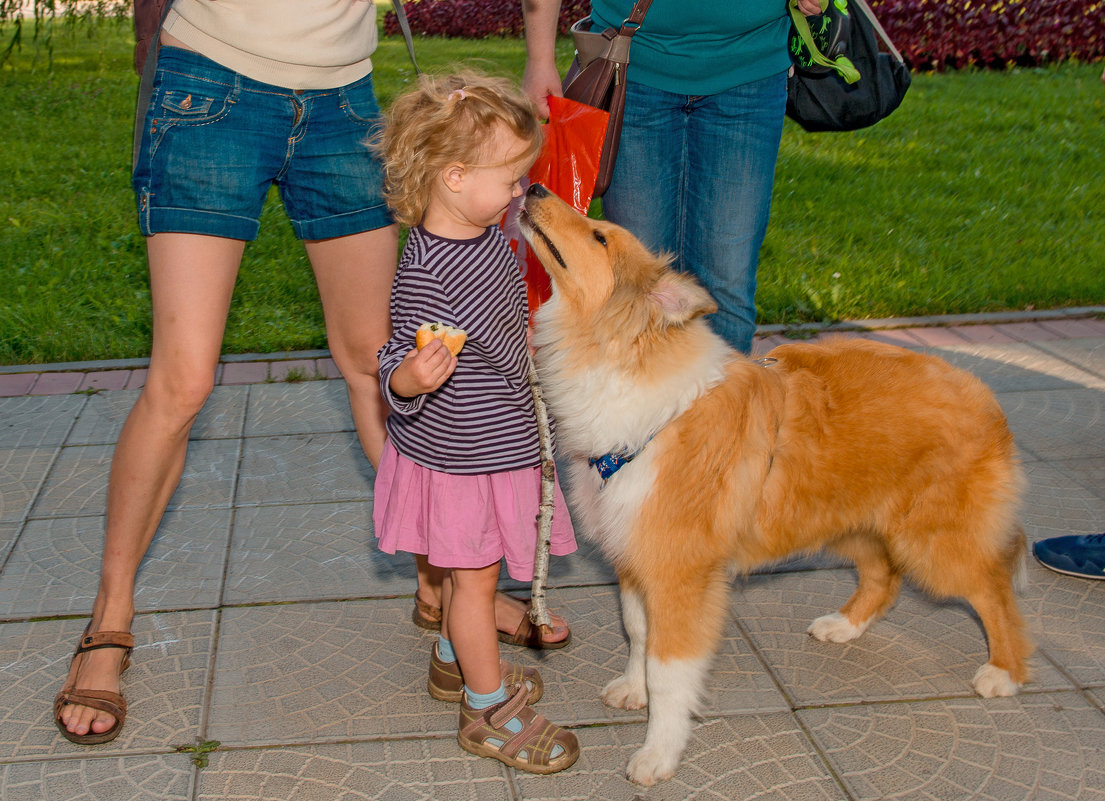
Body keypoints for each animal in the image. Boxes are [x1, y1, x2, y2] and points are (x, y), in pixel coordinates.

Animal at [514, 184, 1025, 782]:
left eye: (599, 236)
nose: (534, 188)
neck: (626, 364)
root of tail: (984, 396)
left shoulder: (682, 573)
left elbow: (669, 668)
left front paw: (658, 754)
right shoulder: (638, 557)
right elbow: (639, 632)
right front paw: (632, 690)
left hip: (934, 543)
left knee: (994, 588)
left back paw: (1004, 673)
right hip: (850, 522)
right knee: (884, 577)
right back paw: (843, 627)